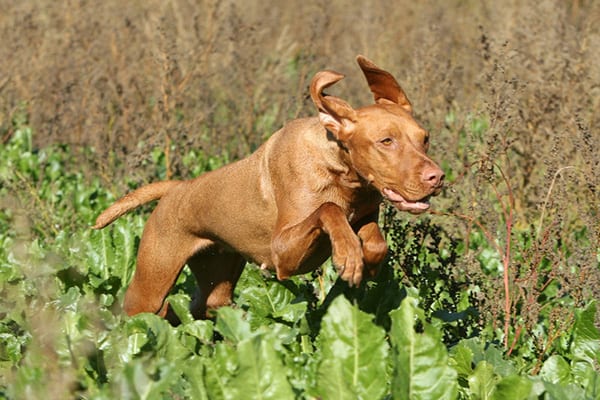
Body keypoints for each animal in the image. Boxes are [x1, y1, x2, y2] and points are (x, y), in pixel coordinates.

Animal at [91, 54, 442, 320]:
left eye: (424, 138)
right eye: (386, 141)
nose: (437, 177)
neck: (340, 171)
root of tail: (177, 189)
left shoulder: (365, 212)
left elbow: (375, 242)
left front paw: (363, 260)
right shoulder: (283, 255)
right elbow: (328, 210)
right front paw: (348, 254)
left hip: (216, 280)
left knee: (192, 311)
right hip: (150, 285)